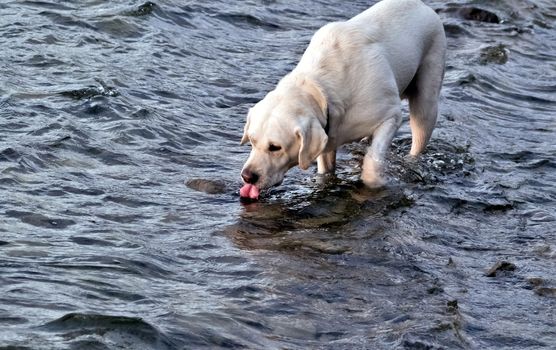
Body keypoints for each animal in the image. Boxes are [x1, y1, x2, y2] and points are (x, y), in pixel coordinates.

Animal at [237, 0, 446, 198]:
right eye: (252, 141)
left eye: (275, 147)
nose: (247, 176)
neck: (321, 87)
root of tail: (421, 5)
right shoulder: (327, 134)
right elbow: (326, 168)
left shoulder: (391, 116)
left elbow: (374, 156)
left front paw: (374, 180)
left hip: (426, 98)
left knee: (419, 133)